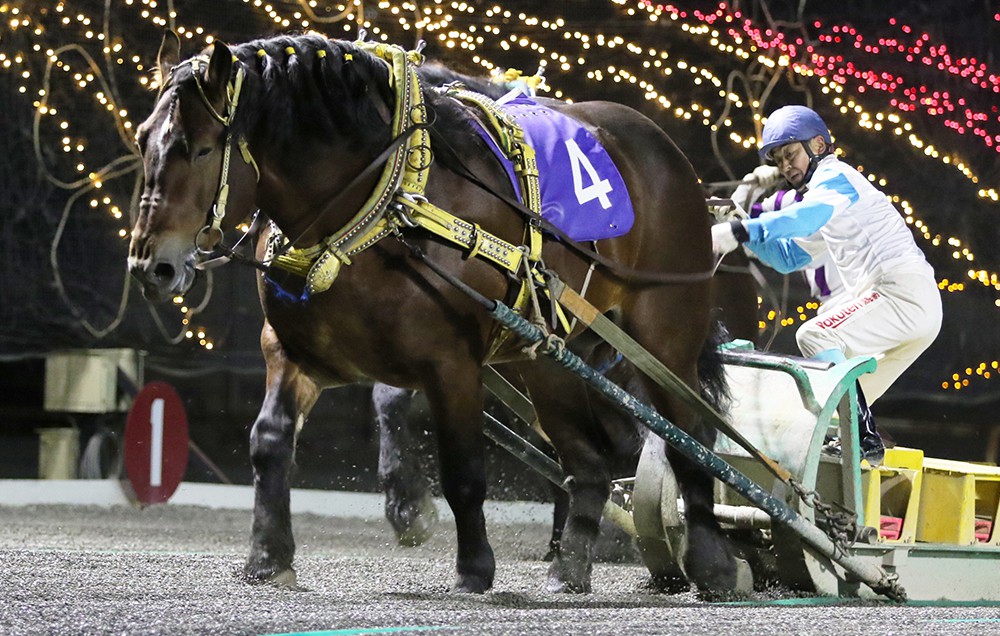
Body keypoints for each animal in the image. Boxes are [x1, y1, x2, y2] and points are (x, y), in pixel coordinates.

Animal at [128, 31, 741, 594]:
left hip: (664, 333)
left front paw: (472, 566)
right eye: (143, 140)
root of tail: (661, 146)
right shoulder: (296, 351)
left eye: (199, 147)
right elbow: (271, 441)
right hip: (548, 357)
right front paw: (268, 555)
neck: (379, 207)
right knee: (589, 463)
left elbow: (463, 470)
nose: (149, 263)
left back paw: (712, 561)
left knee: (689, 439)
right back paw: (571, 565)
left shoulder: (452, 361)